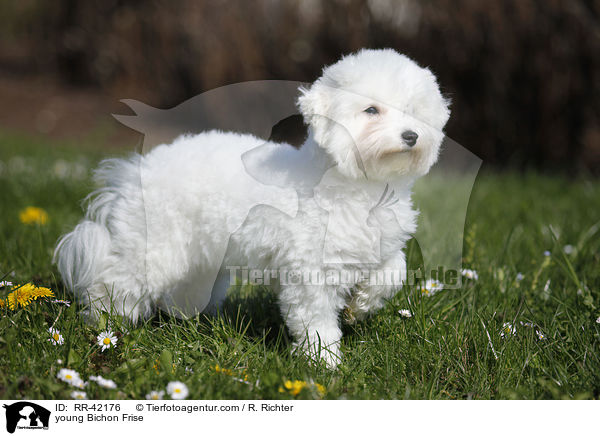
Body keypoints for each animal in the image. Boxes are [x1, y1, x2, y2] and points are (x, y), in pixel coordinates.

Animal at [55, 48, 450, 368]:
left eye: (413, 112)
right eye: (371, 110)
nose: (411, 136)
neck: (358, 185)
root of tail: (136, 169)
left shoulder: (380, 246)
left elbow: (392, 271)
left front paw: (361, 305)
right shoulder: (310, 273)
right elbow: (317, 320)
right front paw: (324, 363)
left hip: (198, 260)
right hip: (153, 249)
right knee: (112, 285)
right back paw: (105, 328)